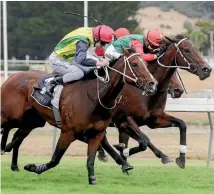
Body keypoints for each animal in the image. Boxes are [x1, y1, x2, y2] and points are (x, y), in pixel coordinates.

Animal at [0, 47, 157, 184]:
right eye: (134, 64)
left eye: (146, 64)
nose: (152, 83)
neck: (94, 97)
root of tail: (11, 77)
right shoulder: (68, 132)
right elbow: (55, 160)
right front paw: (33, 167)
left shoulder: (97, 132)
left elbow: (90, 159)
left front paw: (93, 179)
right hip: (10, 115)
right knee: (9, 129)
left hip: (31, 120)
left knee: (15, 135)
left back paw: (10, 156)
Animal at [99, 34, 212, 168]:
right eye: (186, 50)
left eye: (197, 49)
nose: (207, 69)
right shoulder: (125, 119)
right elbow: (144, 140)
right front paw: (163, 156)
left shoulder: (154, 120)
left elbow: (182, 124)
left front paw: (182, 158)